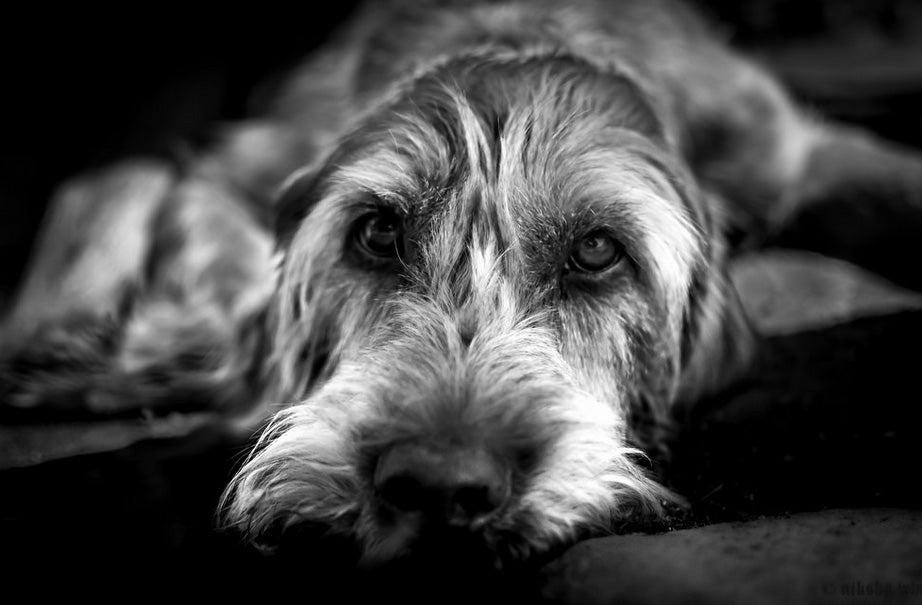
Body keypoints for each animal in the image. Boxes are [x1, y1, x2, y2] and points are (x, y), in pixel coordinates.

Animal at [1, 0, 920, 572]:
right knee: (108, 176)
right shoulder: (242, 164)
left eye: (597, 249)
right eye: (377, 231)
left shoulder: (788, 148)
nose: (439, 485)